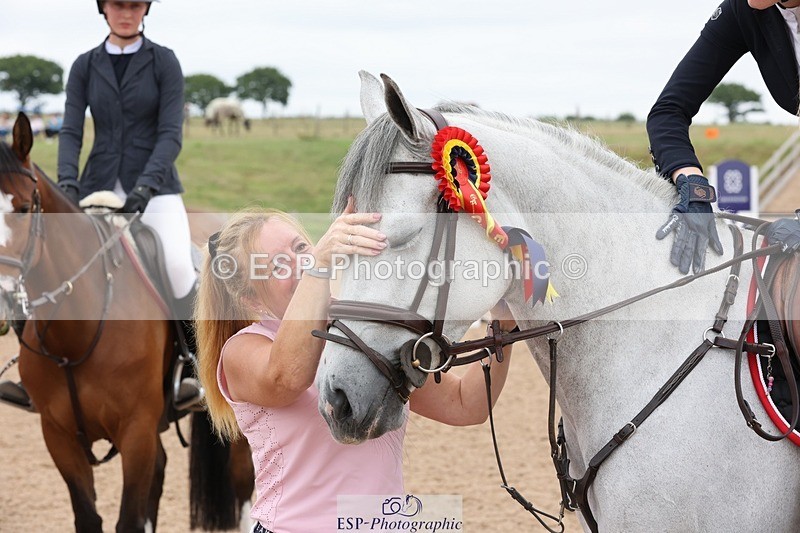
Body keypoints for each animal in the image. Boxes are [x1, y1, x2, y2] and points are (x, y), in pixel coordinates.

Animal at [0, 113, 253, 532]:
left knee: (245, 480)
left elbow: (129, 519)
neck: (78, 334)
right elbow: (90, 517)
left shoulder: (136, 430)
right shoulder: (58, 435)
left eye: (22, 208)